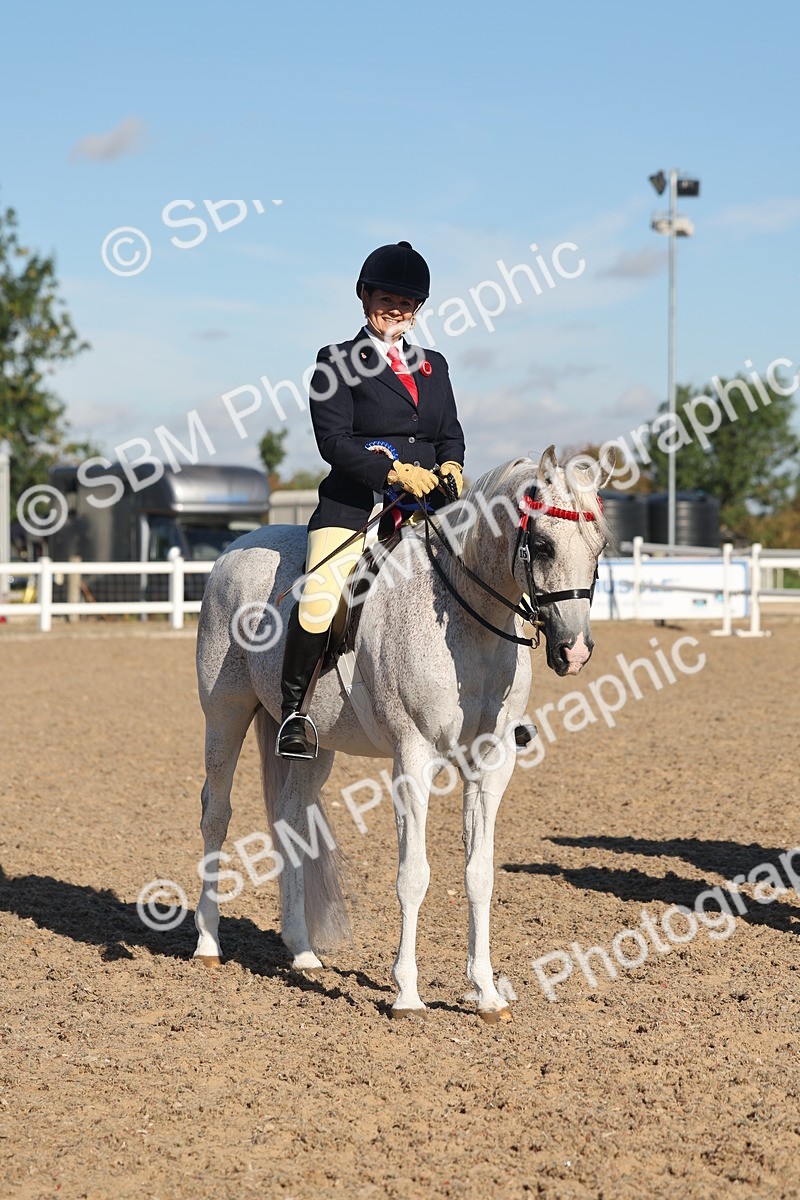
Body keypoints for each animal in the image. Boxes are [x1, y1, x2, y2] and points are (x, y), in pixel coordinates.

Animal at [193, 447, 613, 1021]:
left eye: (600, 547)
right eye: (544, 544)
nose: (575, 652)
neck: (468, 622)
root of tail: (232, 551)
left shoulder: (492, 764)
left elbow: (479, 873)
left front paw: (485, 992)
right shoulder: (413, 759)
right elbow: (413, 875)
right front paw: (407, 994)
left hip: (311, 747)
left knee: (291, 821)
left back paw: (302, 953)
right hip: (225, 717)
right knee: (216, 814)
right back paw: (207, 944)